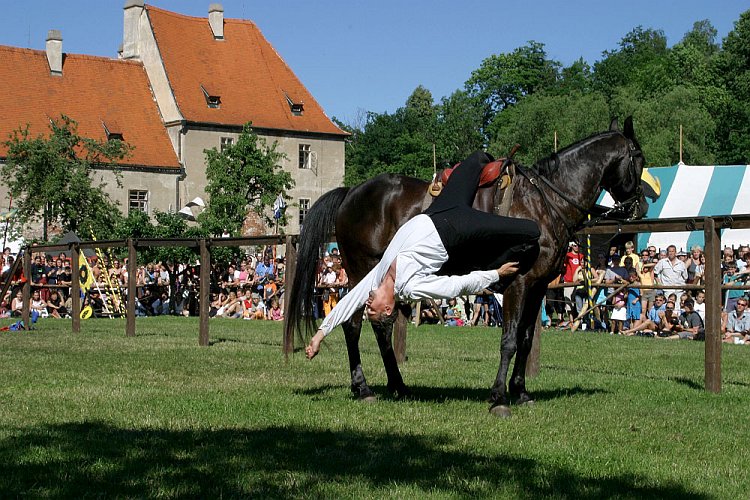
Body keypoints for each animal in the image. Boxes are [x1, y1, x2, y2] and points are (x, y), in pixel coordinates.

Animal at [284, 115, 648, 416]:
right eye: (639, 159)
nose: (641, 205)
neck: (543, 202)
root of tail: (351, 194)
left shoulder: (538, 287)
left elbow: (526, 338)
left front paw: (521, 391)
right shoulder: (518, 284)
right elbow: (510, 339)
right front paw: (499, 397)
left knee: (380, 327)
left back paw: (398, 385)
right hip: (362, 270)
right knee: (354, 324)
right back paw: (363, 388)